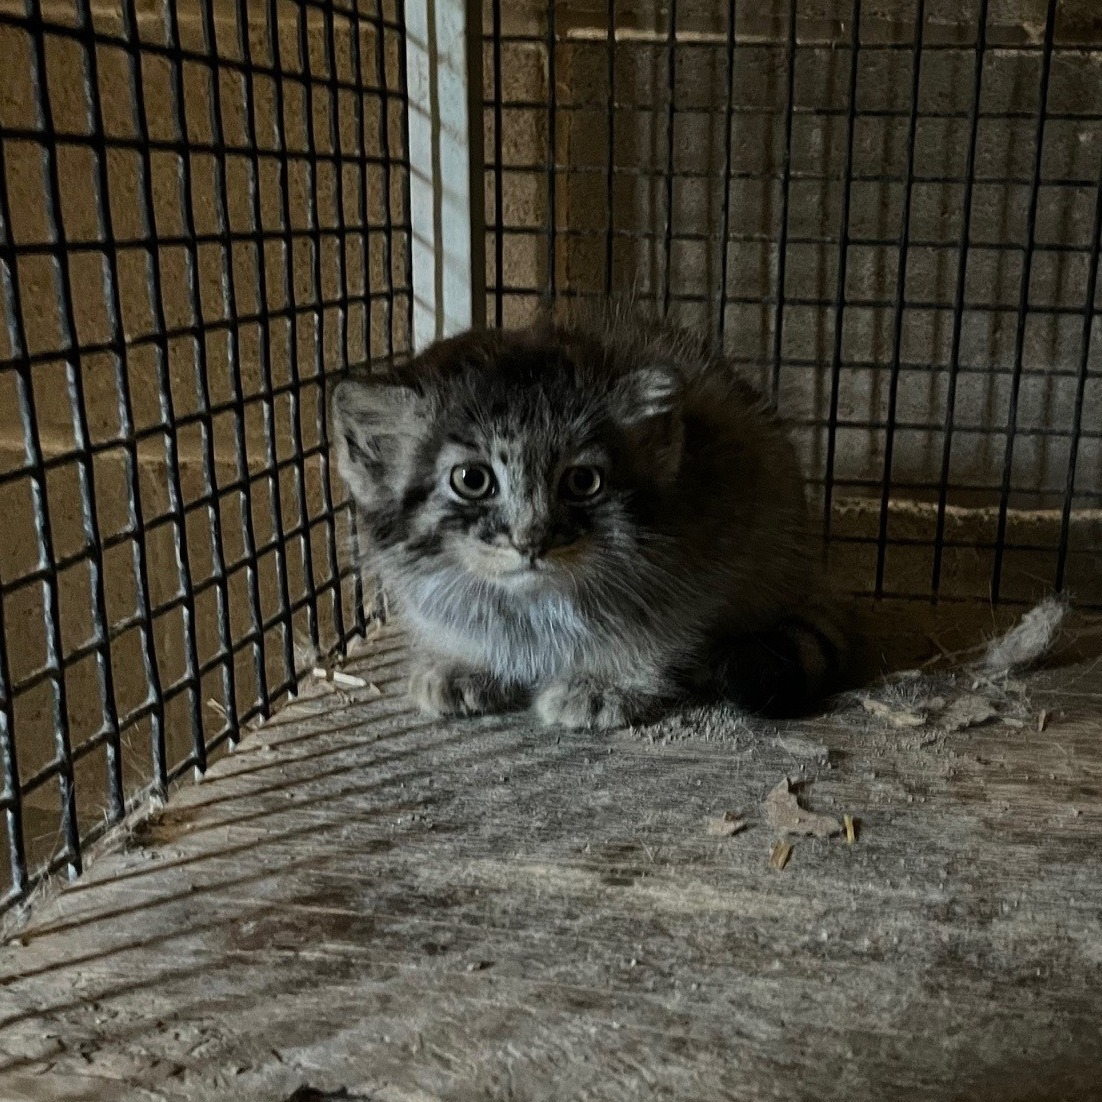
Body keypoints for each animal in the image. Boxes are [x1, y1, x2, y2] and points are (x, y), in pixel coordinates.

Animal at [330, 306, 846, 727]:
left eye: (582, 482)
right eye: (472, 479)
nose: (531, 540)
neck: (533, 606)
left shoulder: (703, 552)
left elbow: (658, 629)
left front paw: (606, 682)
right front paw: (465, 661)